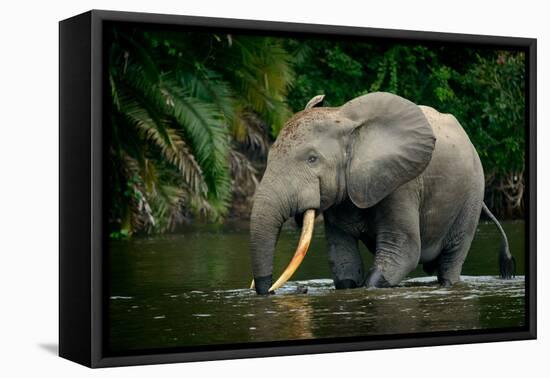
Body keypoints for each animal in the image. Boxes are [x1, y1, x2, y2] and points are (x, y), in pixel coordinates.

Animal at [250, 91, 516, 296]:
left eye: (312, 159)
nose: (272, 291)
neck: (343, 118)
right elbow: (343, 260)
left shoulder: (402, 184)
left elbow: (403, 251)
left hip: (473, 192)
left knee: (451, 262)